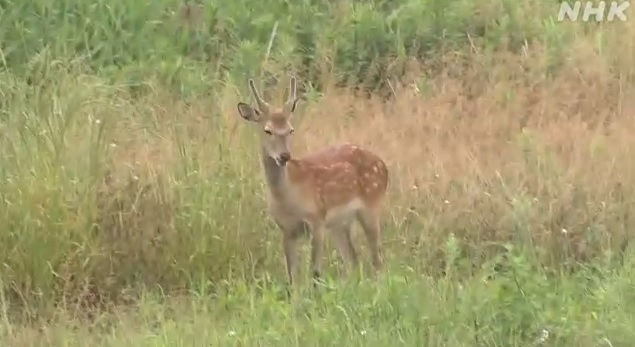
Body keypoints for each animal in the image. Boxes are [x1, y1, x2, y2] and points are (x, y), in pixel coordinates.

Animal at [237, 76, 390, 290]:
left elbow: (315, 273)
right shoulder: (286, 229)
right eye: (267, 130)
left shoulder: (317, 219)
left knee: (377, 261)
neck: (289, 196)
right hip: (338, 224)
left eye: (290, 130)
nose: (284, 156)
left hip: (371, 205)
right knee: (353, 260)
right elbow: (291, 277)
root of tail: (383, 165)